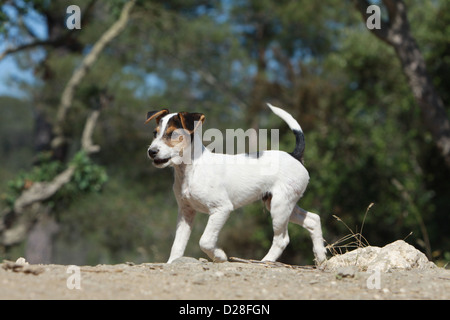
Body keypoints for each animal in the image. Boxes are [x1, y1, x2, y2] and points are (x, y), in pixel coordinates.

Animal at [146, 104, 326, 264]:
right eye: (155, 133)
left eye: (172, 134)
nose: (151, 151)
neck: (191, 169)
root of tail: (294, 155)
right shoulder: (186, 212)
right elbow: (178, 244)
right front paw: (172, 262)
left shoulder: (221, 209)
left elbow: (205, 241)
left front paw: (219, 256)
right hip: (281, 203)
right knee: (313, 219)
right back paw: (321, 259)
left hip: (279, 207)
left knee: (282, 239)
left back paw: (265, 261)